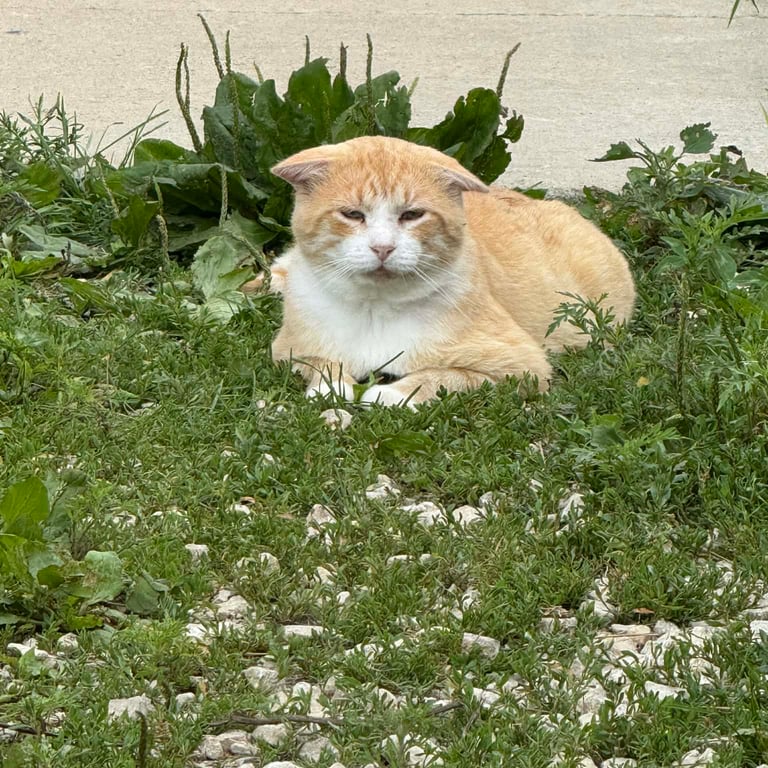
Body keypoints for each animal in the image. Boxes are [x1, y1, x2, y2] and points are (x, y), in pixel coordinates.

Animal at [262, 136, 635, 406]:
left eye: (412, 215)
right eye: (352, 214)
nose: (382, 248)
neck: (376, 309)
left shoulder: (522, 368)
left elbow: (442, 376)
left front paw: (389, 392)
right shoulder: (287, 349)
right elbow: (323, 363)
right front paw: (332, 387)